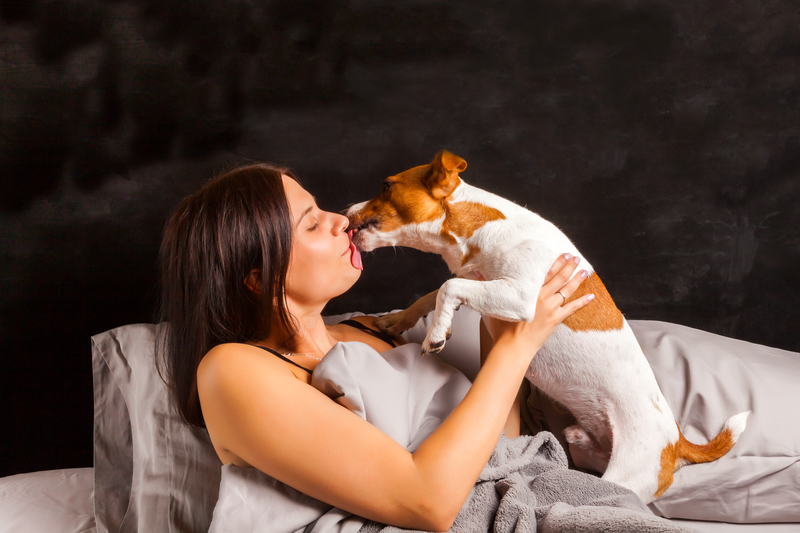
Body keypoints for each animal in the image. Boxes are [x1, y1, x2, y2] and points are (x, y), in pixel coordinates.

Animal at [346, 151, 752, 502]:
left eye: (385, 186)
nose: (345, 212)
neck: (479, 225)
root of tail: (677, 441)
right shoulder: (480, 280)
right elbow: (433, 293)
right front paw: (396, 320)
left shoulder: (520, 297)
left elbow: (447, 287)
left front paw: (435, 334)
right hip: (583, 448)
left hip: (627, 475)